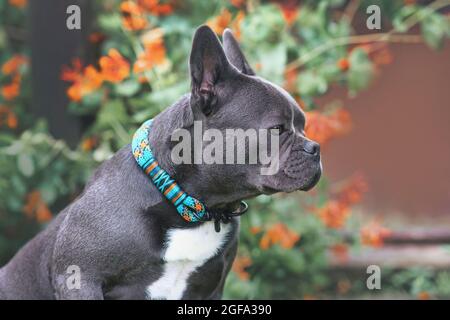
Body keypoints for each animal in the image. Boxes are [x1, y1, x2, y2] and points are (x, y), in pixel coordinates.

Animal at [0, 25, 324, 300]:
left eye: (303, 125)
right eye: (277, 129)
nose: (315, 148)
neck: (191, 209)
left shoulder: (210, 288)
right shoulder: (80, 279)